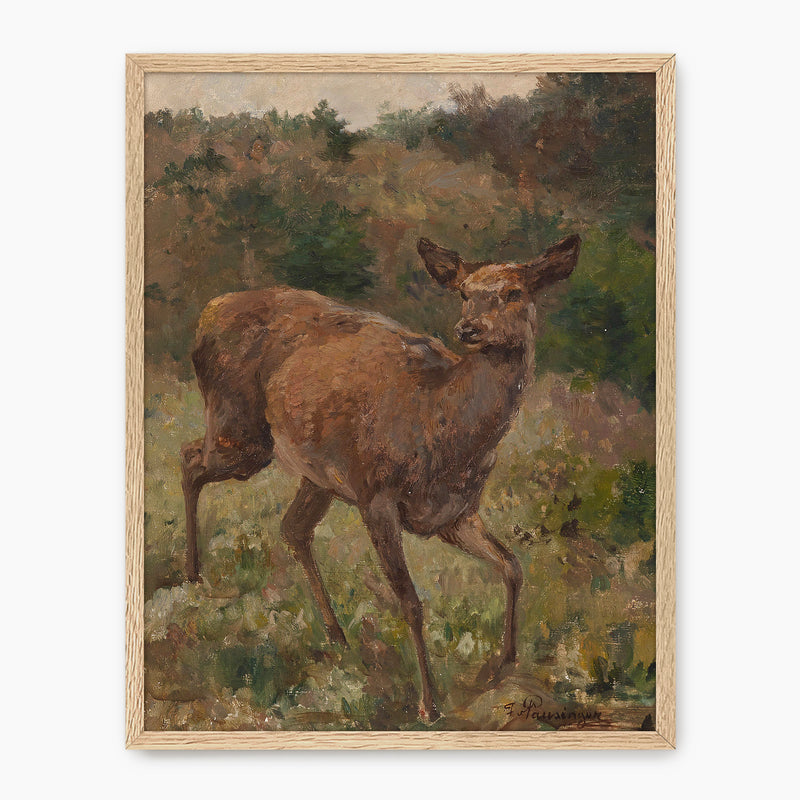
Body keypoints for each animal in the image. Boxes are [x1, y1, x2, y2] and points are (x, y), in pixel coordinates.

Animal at [180, 233, 581, 721]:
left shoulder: (456, 514)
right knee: (189, 459)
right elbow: (410, 603)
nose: (469, 329)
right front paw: (429, 705)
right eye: (464, 292)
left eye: (514, 292)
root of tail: (209, 309)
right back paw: (193, 575)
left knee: (292, 527)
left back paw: (335, 635)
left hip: (318, 472)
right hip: (240, 431)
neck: (446, 428)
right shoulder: (377, 496)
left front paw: (504, 664)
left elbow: (512, 566)